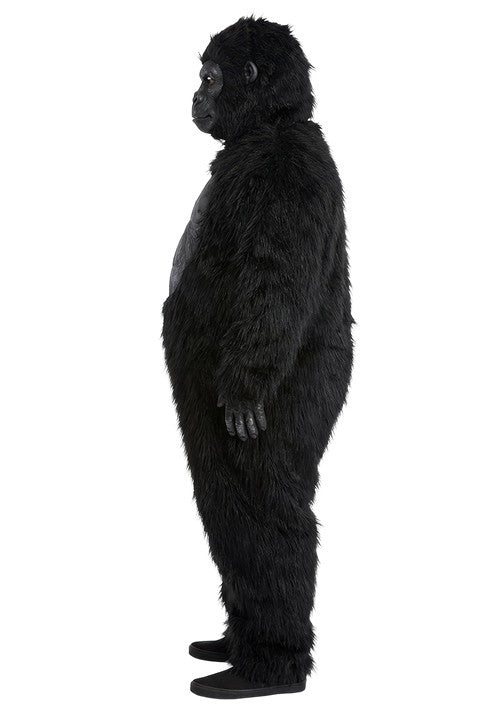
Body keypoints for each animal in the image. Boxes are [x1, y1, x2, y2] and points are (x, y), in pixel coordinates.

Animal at [162, 17, 353, 698]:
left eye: (209, 76)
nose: (195, 95)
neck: (272, 127)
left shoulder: (283, 180)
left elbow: (272, 279)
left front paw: (244, 389)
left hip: (286, 403)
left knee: (265, 510)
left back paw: (265, 671)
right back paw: (230, 646)